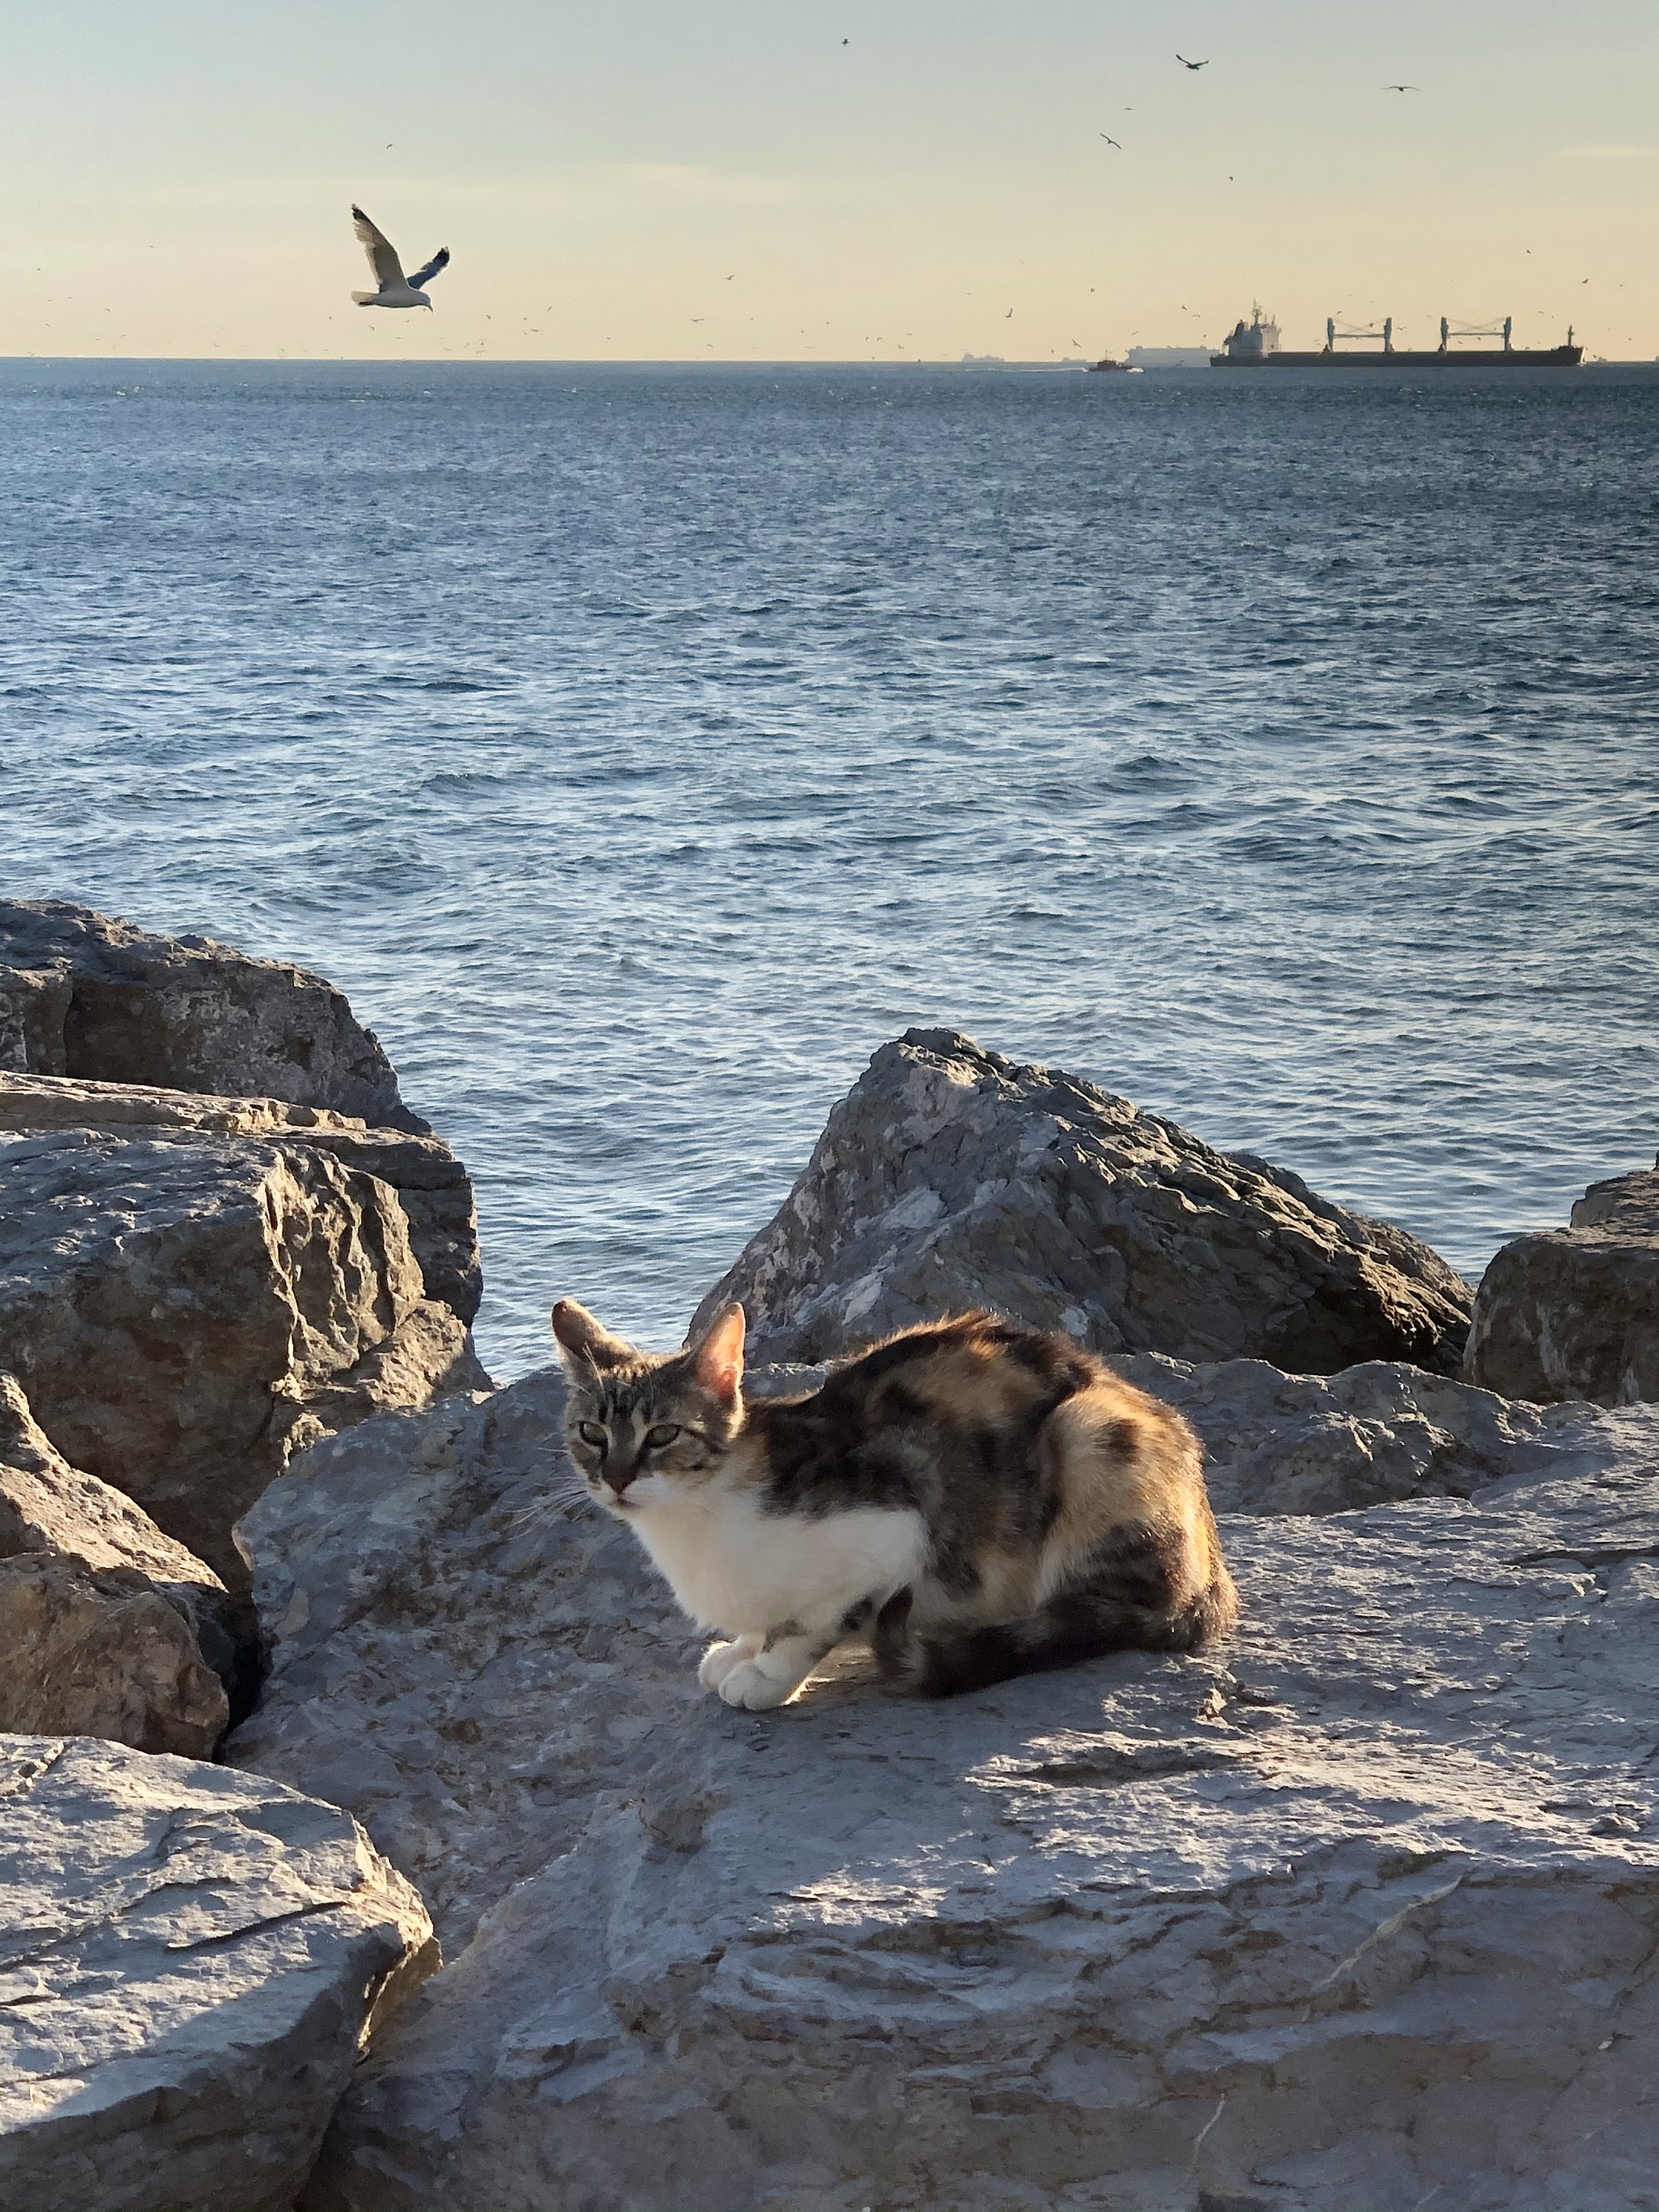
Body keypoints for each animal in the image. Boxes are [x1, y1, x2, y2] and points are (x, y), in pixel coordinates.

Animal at [552, 1291, 1239, 1707]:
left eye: (663, 1434)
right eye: (591, 1432)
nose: (616, 1477)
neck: (693, 1523)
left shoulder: (896, 1526)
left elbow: (813, 1623)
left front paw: (767, 1673)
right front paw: (742, 1647)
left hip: (1088, 1437)